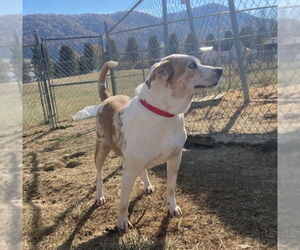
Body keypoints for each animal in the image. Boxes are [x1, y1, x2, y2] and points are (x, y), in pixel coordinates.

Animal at [94, 53, 223, 231]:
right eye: (191, 65)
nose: (220, 70)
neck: (163, 114)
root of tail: (108, 98)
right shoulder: (129, 169)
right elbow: (123, 201)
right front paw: (122, 222)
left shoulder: (175, 158)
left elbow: (171, 188)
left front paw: (173, 208)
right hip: (101, 150)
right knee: (99, 175)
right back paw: (99, 196)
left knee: (143, 170)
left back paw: (147, 185)